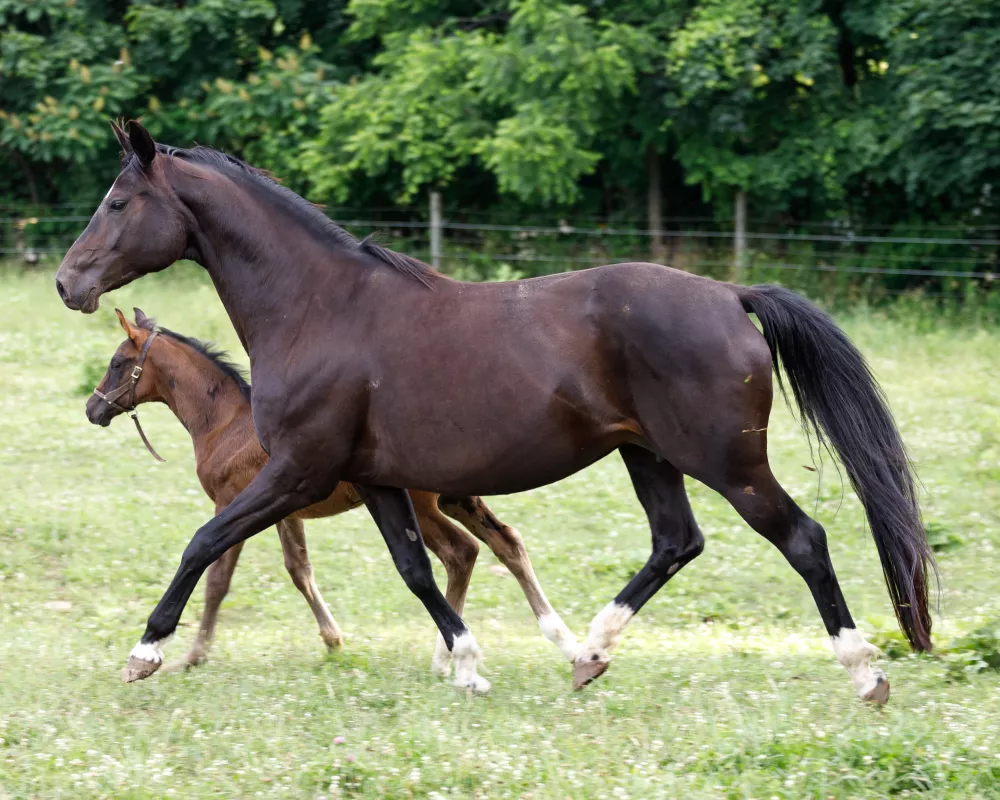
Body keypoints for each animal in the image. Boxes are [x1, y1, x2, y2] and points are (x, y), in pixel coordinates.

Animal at [56, 122, 928, 704]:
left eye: (119, 201)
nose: (69, 282)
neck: (317, 309)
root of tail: (730, 294)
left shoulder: (298, 469)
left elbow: (204, 543)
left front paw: (146, 651)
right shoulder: (376, 479)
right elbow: (417, 570)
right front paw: (468, 664)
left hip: (727, 461)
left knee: (803, 539)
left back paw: (865, 672)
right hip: (648, 455)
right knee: (676, 542)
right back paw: (589, 653)